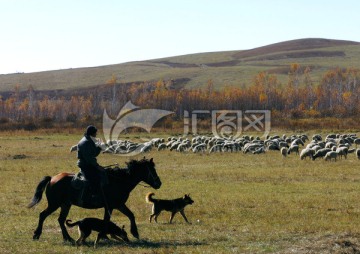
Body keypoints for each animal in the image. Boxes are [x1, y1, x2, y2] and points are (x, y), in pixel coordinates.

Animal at [27, 157, 162, 242]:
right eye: (151, 169)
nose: (159, 183)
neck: (119, 181)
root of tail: (52, 179)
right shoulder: (111, 206)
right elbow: (107, 220)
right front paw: (105, 235)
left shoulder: (119, 205)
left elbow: (130, 215)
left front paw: (135, 233)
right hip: (54, 204)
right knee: (43, 215)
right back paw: (37, 234)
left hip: (66, 204)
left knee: (61, 220)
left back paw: (67, 238)